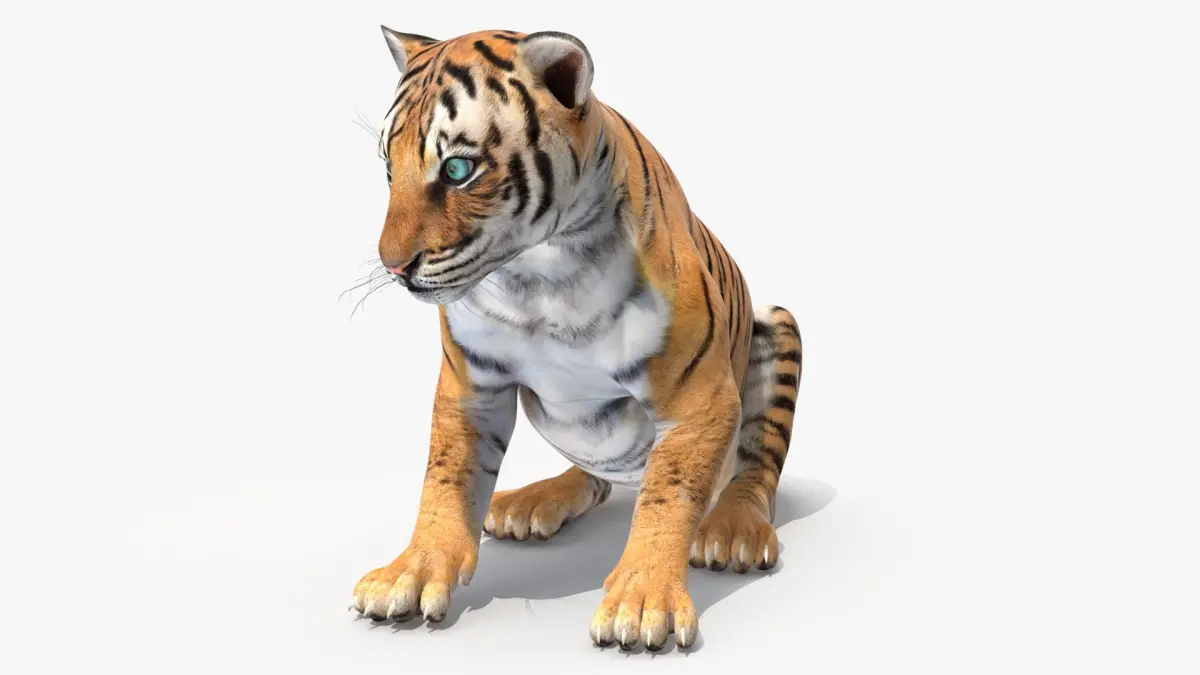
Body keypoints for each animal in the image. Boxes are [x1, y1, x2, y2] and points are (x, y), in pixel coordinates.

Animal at [350, 27, 803, 652]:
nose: (394, 268)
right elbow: (445, 478)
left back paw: (734, 529)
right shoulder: (470, 385)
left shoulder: (699, 397)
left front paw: (642, 600)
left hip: (777, 324)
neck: (538, 275)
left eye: (458, 170)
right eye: (389, 170)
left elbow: (669, 495)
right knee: (596, 477)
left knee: (753, 468)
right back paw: (532, 502)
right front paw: (412, 571)